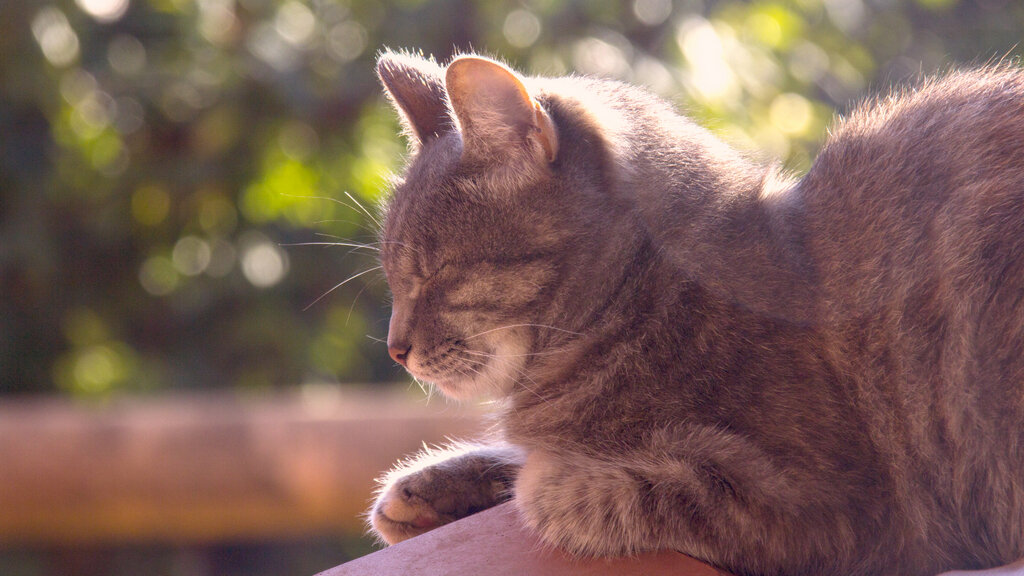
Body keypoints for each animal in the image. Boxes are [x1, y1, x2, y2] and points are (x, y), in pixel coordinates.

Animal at [366, 49, 1024, 573]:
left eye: (437, 273)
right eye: (393, 276)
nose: (396, 350)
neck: (647, 304)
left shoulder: (841, 511)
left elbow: (585, 492)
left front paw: (539, 478)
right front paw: (433, 486)